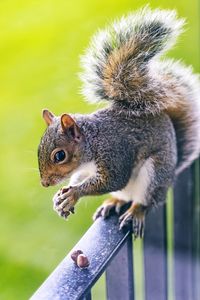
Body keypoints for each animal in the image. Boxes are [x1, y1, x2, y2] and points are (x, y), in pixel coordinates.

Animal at [37, 7, 200, 237]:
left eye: (59, 156)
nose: (45, 183)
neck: (92, 143)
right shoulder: (85, 170)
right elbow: (79, 177)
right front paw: (61, 196)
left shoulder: (114, 154)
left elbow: (111, 180)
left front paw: (74, 194)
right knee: (124, 196)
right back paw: (113, 202)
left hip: (155, 174)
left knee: (144, 201)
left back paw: (135, 212)